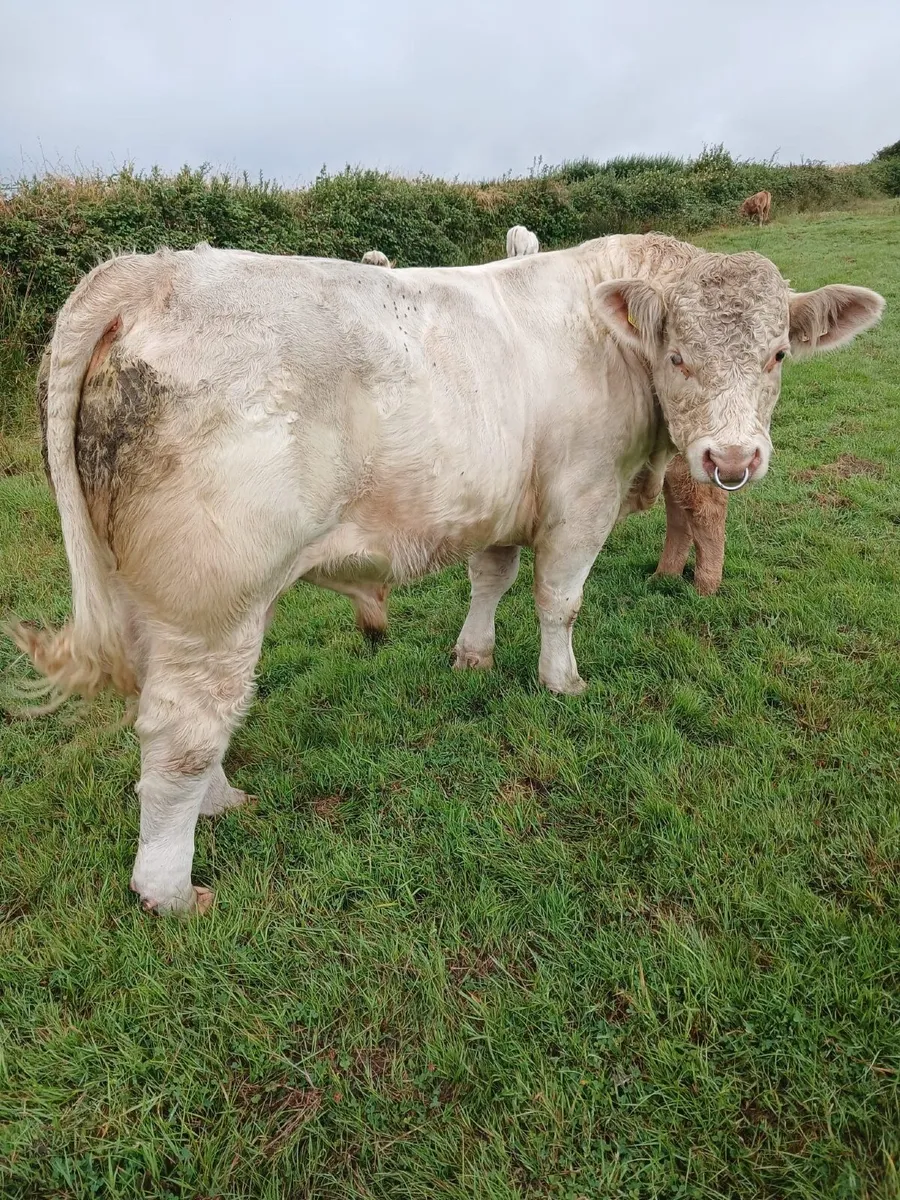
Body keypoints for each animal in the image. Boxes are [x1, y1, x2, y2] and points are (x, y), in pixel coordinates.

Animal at [10, 236, 884, 914]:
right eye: (678, 354)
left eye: (777, 353)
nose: (732, 459)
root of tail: (150, 270)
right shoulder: (581, 499)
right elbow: (560, 600)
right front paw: (562, 682)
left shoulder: (496, 503)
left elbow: (491, 579)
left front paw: (474, 654)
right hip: (214, 597)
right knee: (180, 734)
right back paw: (169, 888)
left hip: (154, 600)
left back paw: (221, 801)